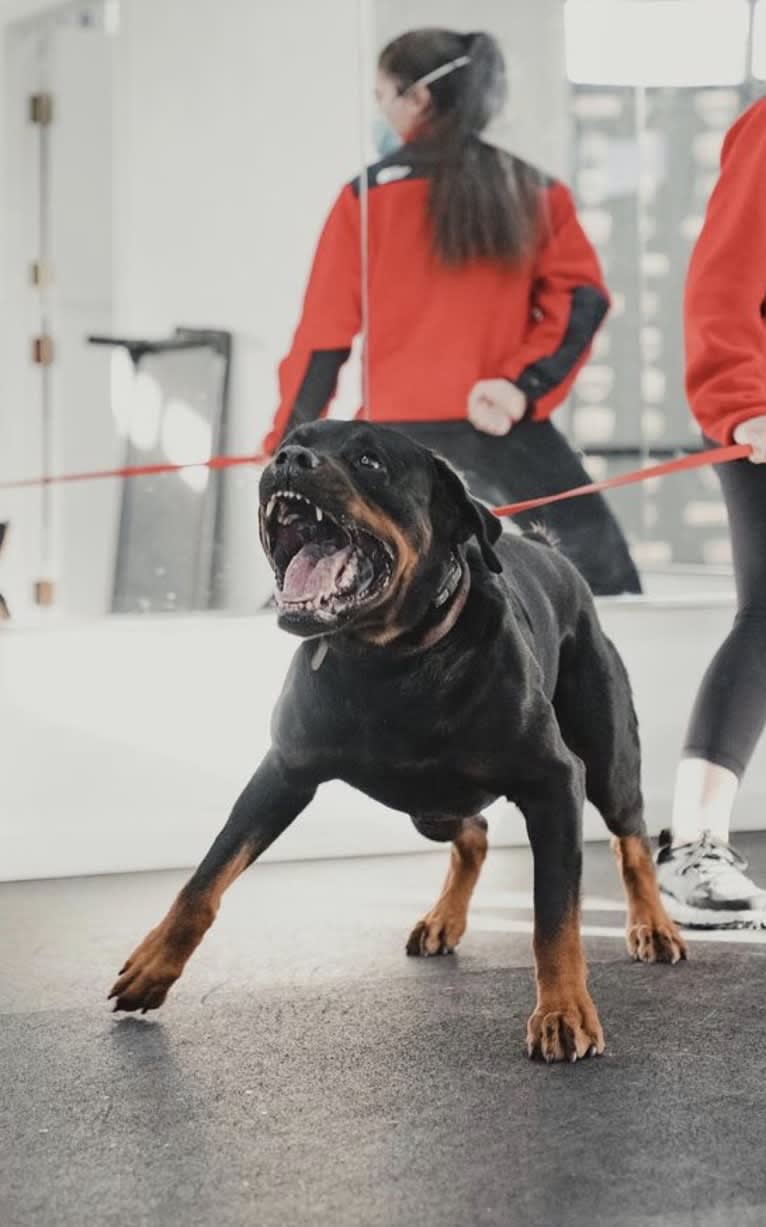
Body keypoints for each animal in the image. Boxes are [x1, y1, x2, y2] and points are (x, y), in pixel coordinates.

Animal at [109, 417, 687, 1060]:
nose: (289, 458)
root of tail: (556, 557)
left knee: (629, 837)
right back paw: (443, 920)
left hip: (606, 755)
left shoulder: (555, 782)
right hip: (428, 806)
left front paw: (563, 1011)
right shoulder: (283, 772)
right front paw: (153, 966)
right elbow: (205, 880)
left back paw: (653, 925)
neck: (388, 661)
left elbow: (554, 916)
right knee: (474, 833)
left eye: (369, 461)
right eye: (291, 439)